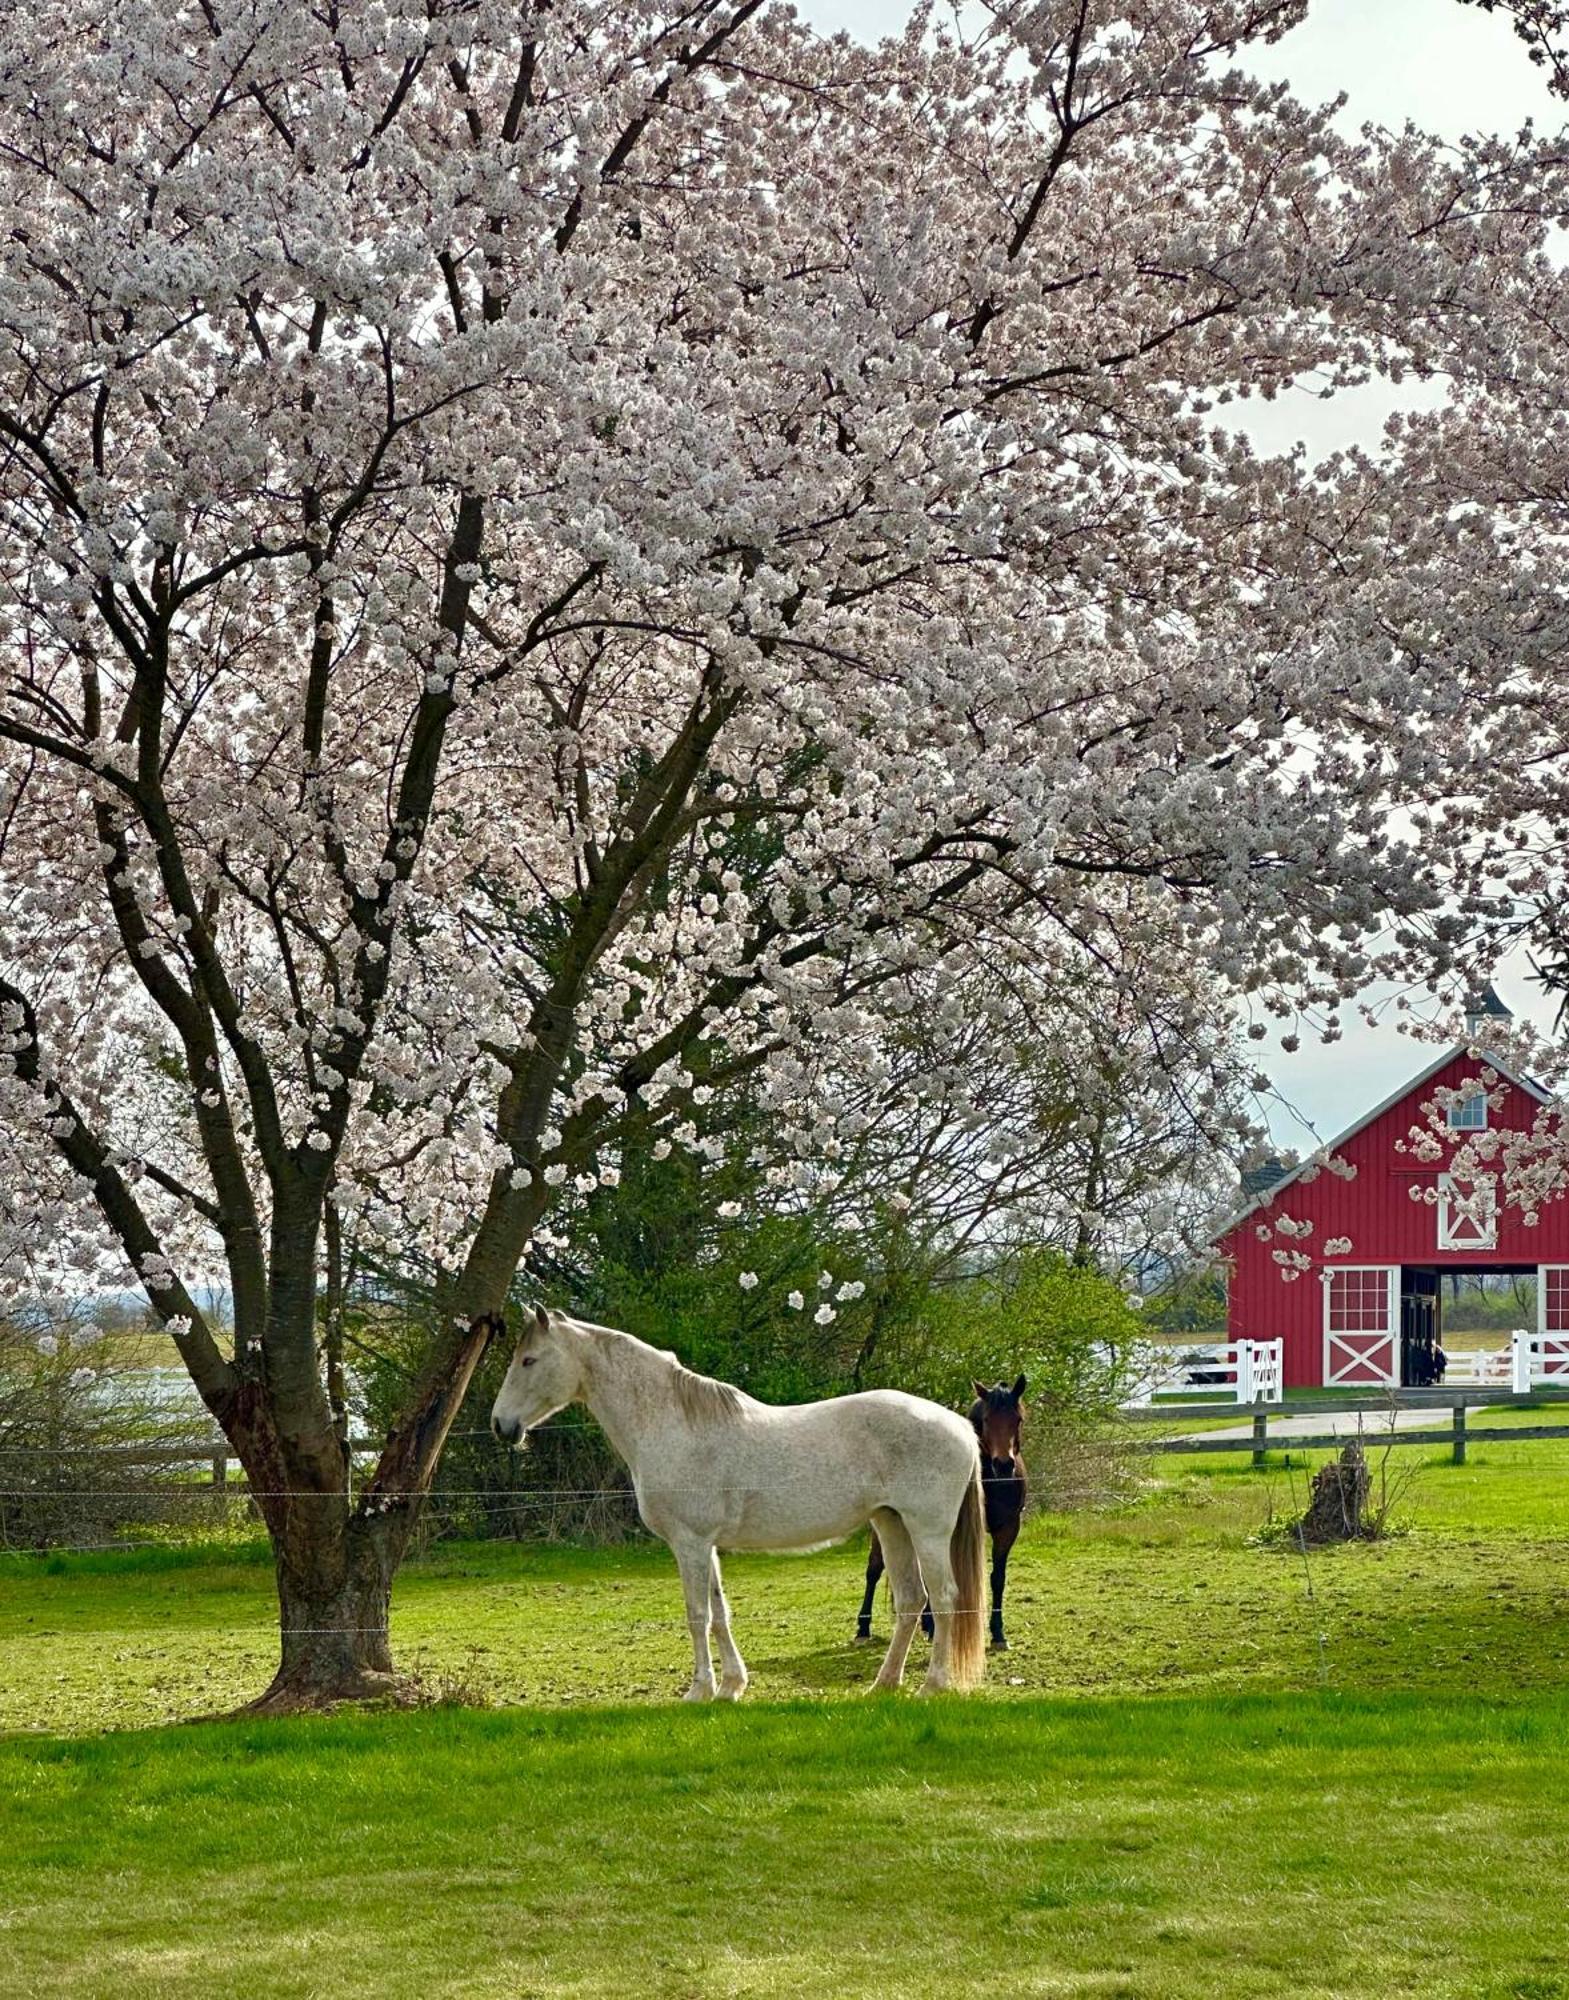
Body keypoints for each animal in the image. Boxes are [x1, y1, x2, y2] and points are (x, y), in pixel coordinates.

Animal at [490, 1312, 988, 1704]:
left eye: (529, 1360)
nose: (500, 1426)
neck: (672, 1425)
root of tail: (960, 1426)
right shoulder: (705, 1545)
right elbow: (720, 1613)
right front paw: (731, 1686)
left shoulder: (689, 1544)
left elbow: (698, 1616)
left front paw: (699, 1691)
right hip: (891, 1524)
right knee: (911, 1600)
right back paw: (884, 1684)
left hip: (927, 1531)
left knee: (944, 1598)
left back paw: (932, 1685)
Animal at [856, 1384, 1032, 1648]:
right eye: (987, 1419)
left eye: (1017, 1419)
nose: (1003, 1464)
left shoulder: (1008, 1528)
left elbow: (998, 1578)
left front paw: (998, 1633)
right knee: (874, 1570)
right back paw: (864, 1627)